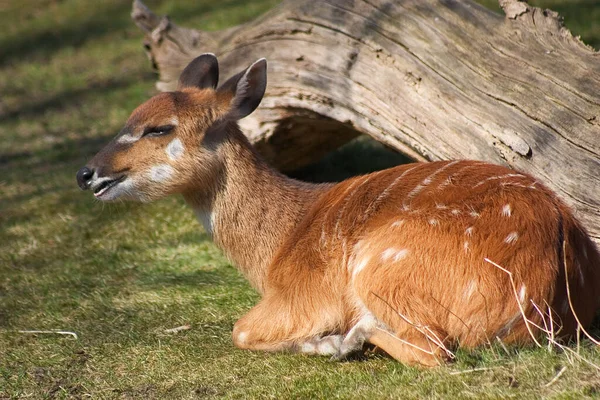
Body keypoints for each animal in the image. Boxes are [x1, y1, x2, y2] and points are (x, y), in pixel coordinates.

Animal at [77, 54, 600, 368]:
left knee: (434, 351)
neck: (273, 251)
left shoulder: (303, 295)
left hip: (383, 265)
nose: (87, 173)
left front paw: (329, 339)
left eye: (158, 128)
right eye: (130, 117)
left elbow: (239, 330)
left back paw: (347, 338)